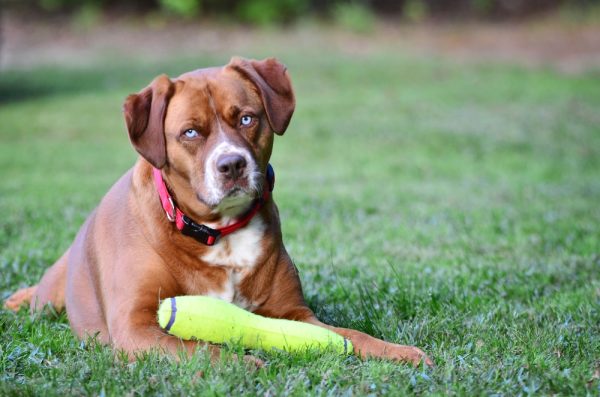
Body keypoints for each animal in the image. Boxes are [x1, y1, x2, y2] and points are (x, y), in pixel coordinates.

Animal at [4, 56, 432, 366]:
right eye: (190, 132)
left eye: (246, 118)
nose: (232, 164)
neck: (219, 232)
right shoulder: (135, 326)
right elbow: (199, 349)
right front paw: (244, 365)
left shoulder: (295, 313)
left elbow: (349, 335)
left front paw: (397, 351)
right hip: (51, 296)